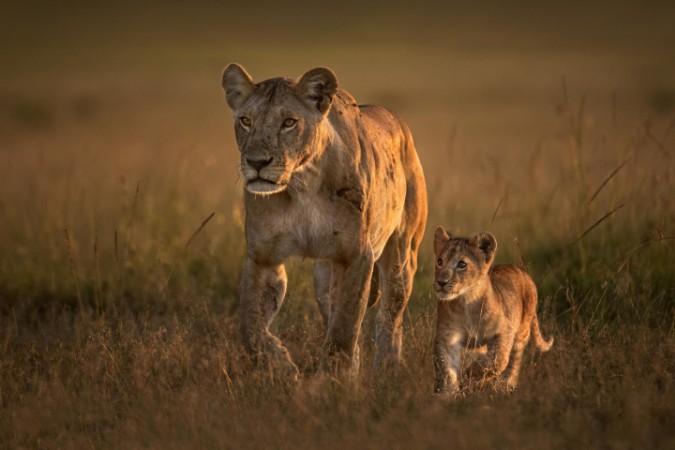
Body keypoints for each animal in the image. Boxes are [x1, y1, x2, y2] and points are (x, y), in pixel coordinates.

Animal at [221, 64, 428, 378]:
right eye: (245, 121)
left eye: (289, 122)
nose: (256, 162)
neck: (301, 184)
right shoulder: (263, 257)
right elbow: (251, 327)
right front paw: (281, 366)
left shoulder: (356, 256)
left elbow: (344, 328)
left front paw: (332, 381)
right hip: (323, 276)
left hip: (402, 255)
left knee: (390, 316)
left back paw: (387, 369)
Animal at [432, 226, 553, 393]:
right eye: (439, 261)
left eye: (462, 264)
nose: (441, 282)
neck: (466, 302)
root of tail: (522, 272)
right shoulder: (447, 338)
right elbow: (447, 369)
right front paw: (448, 393)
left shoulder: (504, 331)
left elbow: (498, 359)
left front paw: (471, 373)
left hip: (521, 333)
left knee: (513, 364)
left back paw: (504, 387)